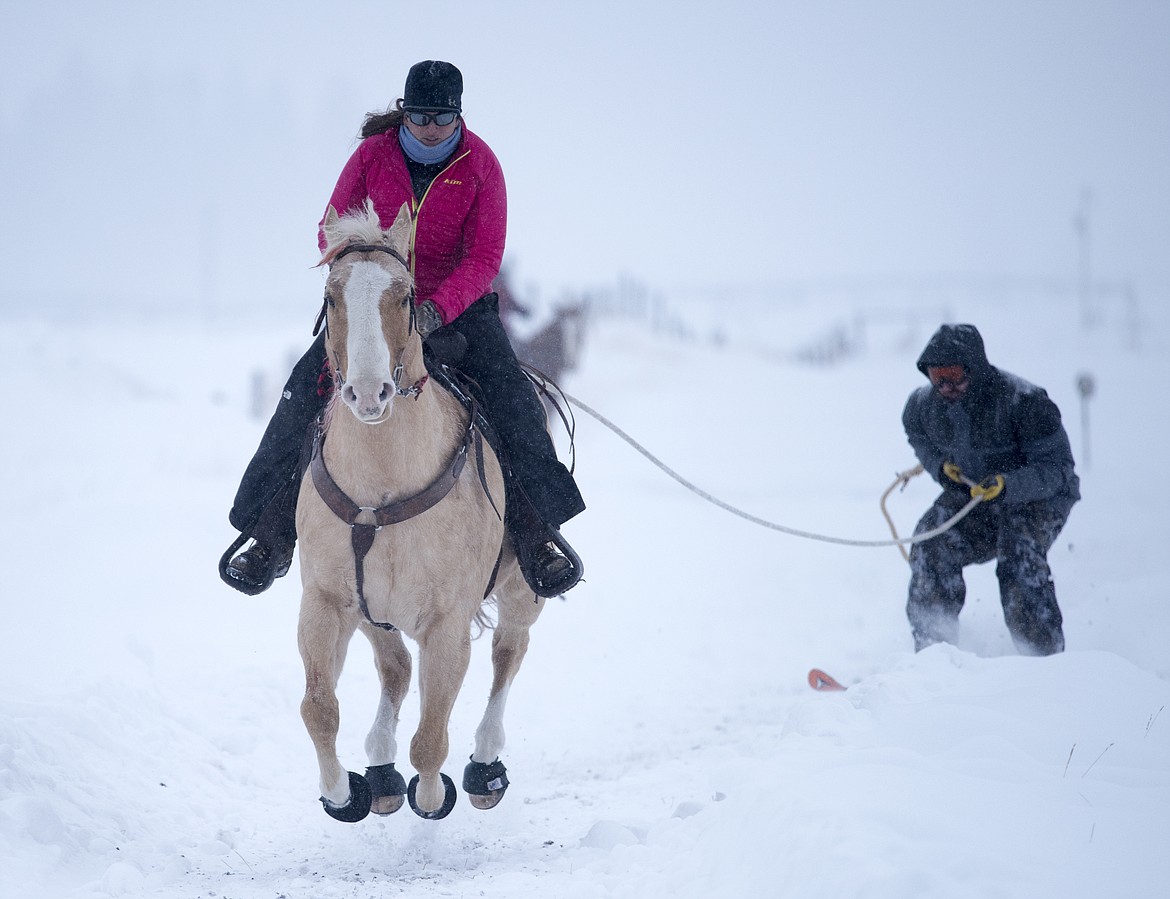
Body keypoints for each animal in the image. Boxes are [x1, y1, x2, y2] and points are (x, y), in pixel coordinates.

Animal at [297, 200, 542, 819]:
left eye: (406, 297)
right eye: (331, 297)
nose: (368, 394)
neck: (381, 488)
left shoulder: (447, 624)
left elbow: (431, 737)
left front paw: (432, 797)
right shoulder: (327, 602)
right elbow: (319, 708)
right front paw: (341, 793)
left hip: (522, 593)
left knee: (508, 654)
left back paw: (484, 767)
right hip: (373, 615)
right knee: (396, 669)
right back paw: (381, 772)